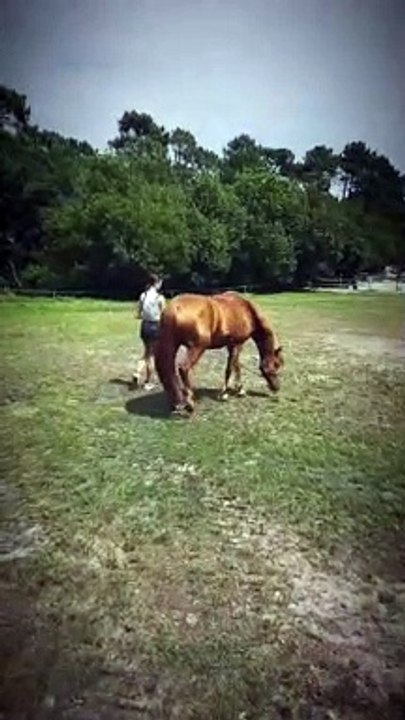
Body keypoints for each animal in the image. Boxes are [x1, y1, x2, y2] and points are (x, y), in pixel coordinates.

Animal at [154, 291, 284, 414]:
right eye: (277, 365)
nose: (277, 387)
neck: (247, 310)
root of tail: (175, 307)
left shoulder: (231, 345)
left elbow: (234, 366)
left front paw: (237, 389)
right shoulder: (237, 344)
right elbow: (231, 368)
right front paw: (227, 393)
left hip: (173, 345)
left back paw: (177, 403)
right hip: (198, 347)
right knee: (184, 368)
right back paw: (190, 403)